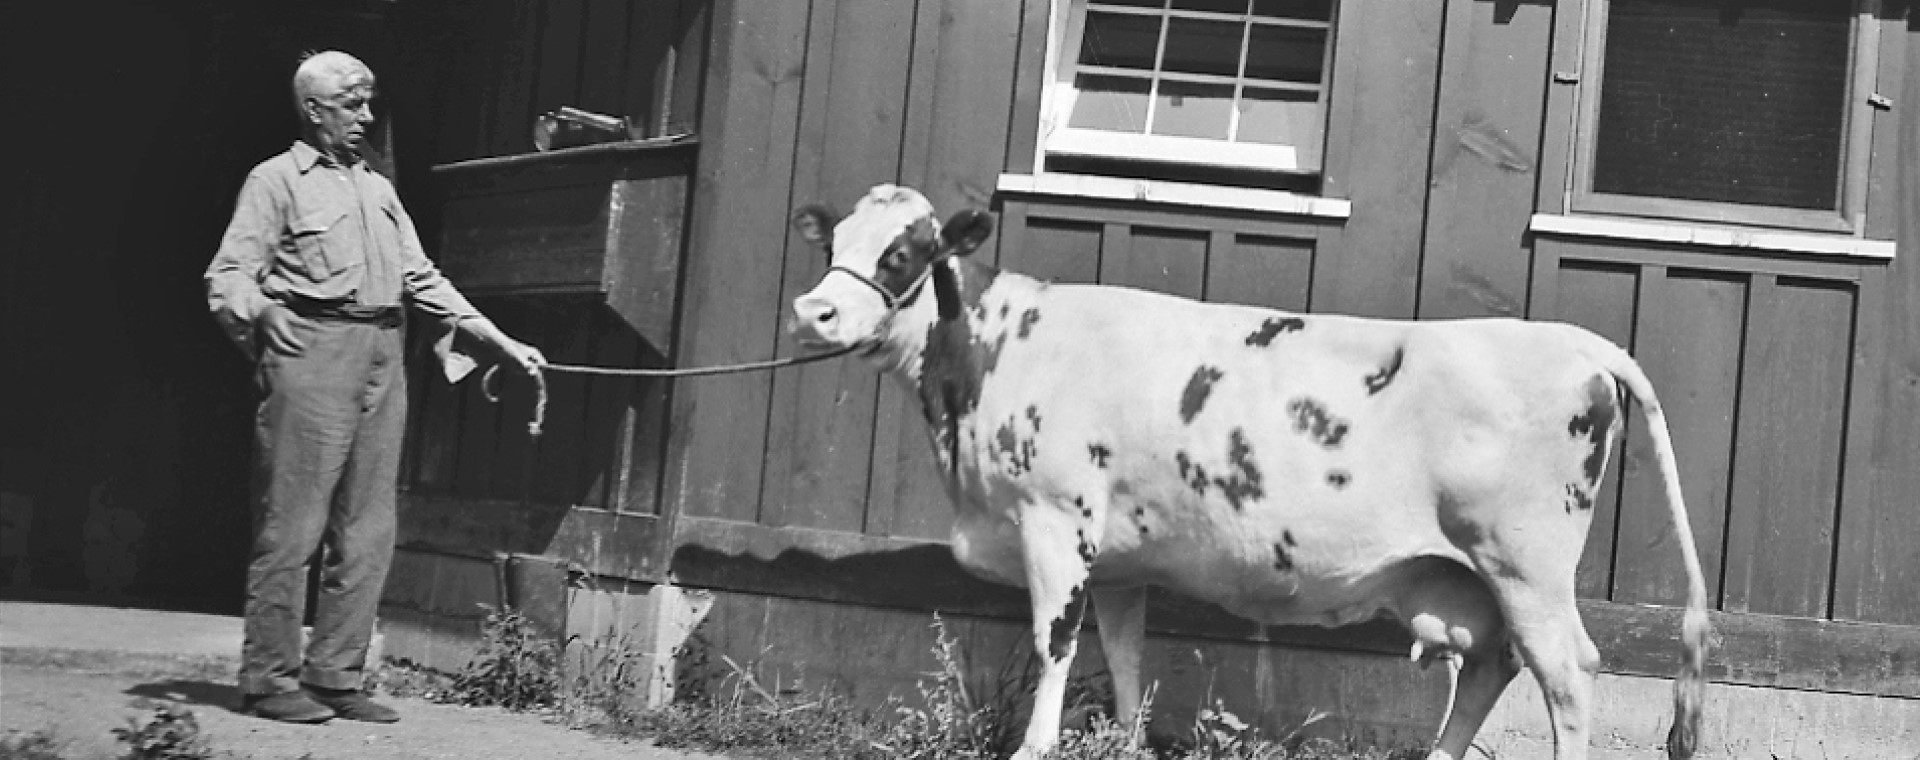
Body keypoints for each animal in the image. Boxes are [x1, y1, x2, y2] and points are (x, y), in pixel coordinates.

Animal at [779, 185, 1712, 760]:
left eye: (904, 252)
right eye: (835, 243)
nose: (813, 310)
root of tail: (1576, 340)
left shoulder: (1054, 522)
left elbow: (1054, 646)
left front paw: (1035, 747)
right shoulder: (1118, 558)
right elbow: (1123, 656)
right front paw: (1124, 741)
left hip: (1527, 565)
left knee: (1569, 675)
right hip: (1472, 575)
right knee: (1492, 665)